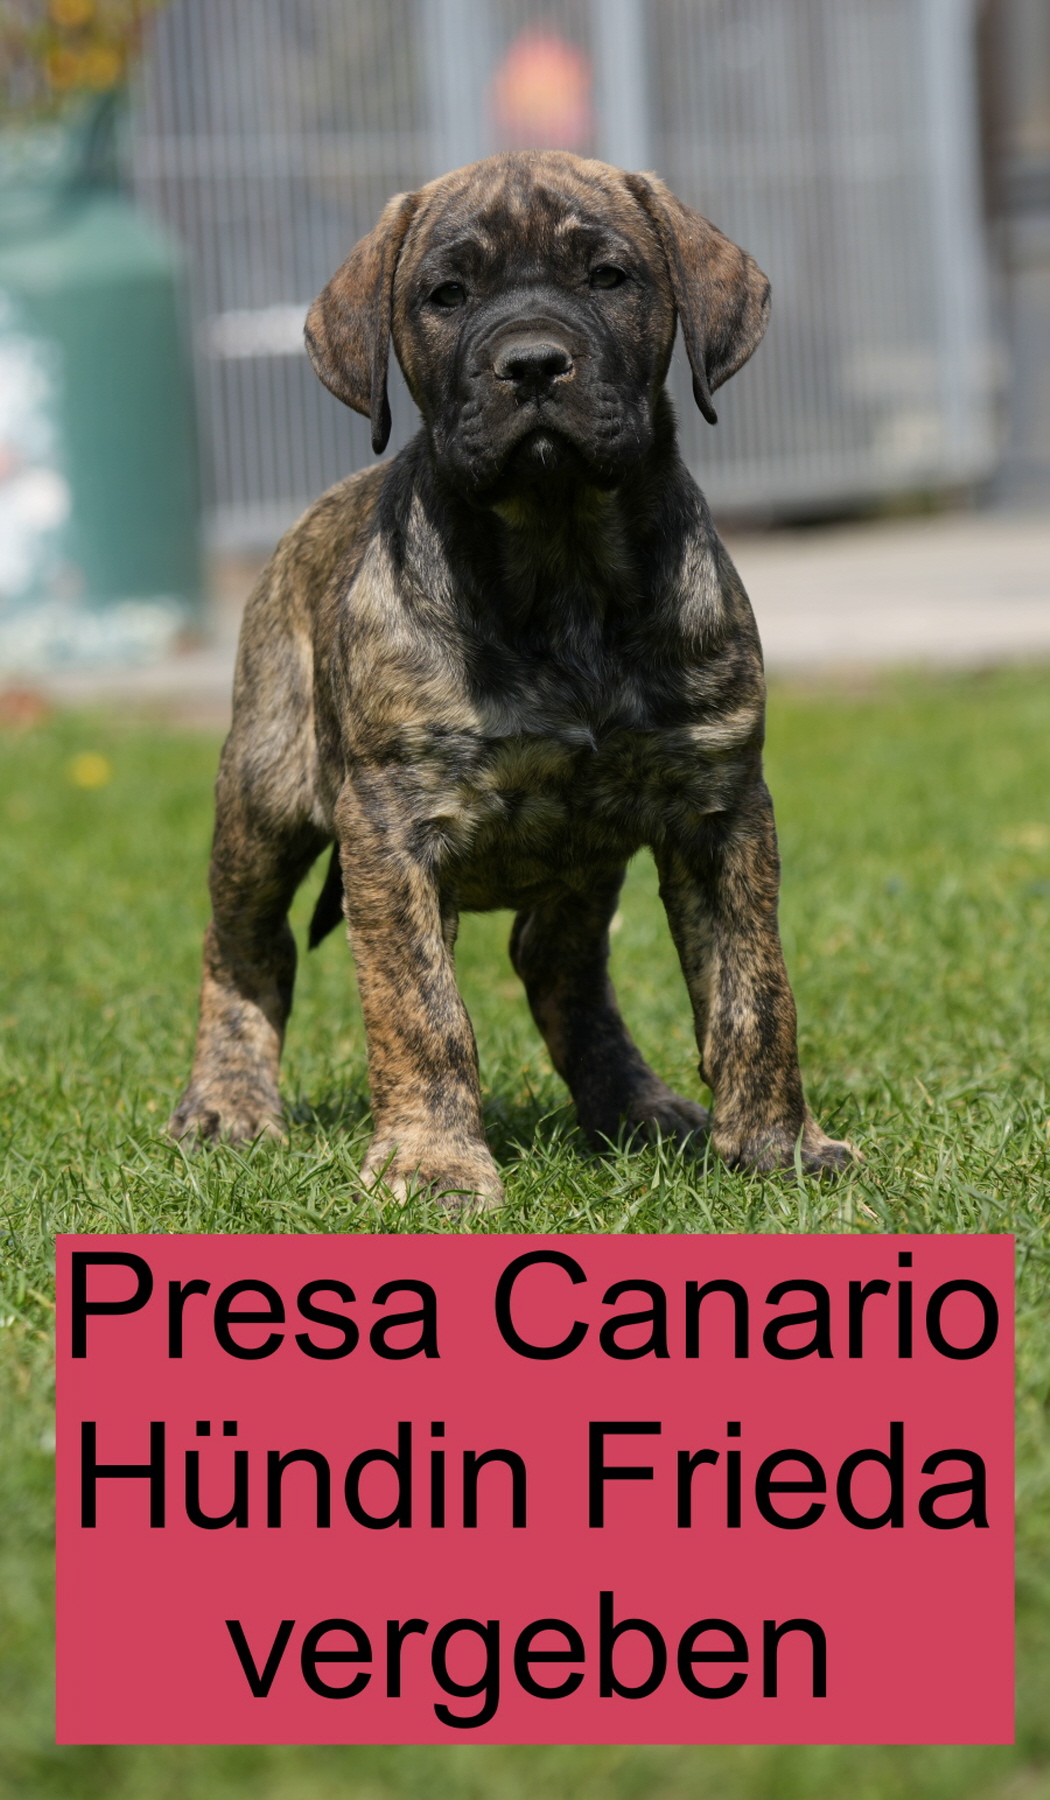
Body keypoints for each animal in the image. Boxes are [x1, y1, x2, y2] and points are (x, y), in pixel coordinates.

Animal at [170, 150, 852, 1207]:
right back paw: (228, 1104)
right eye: (446, 295)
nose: (532, 363)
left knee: (557, 966)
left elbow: (754, 991)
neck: (561, 561)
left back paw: (635, 1105)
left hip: (584, 854)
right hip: (263, 796)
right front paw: (434, 1164)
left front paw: (777, 1147)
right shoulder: (393, 825)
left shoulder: (722, 806)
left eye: (608, 277)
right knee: (245, 946)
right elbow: (421, 1009)